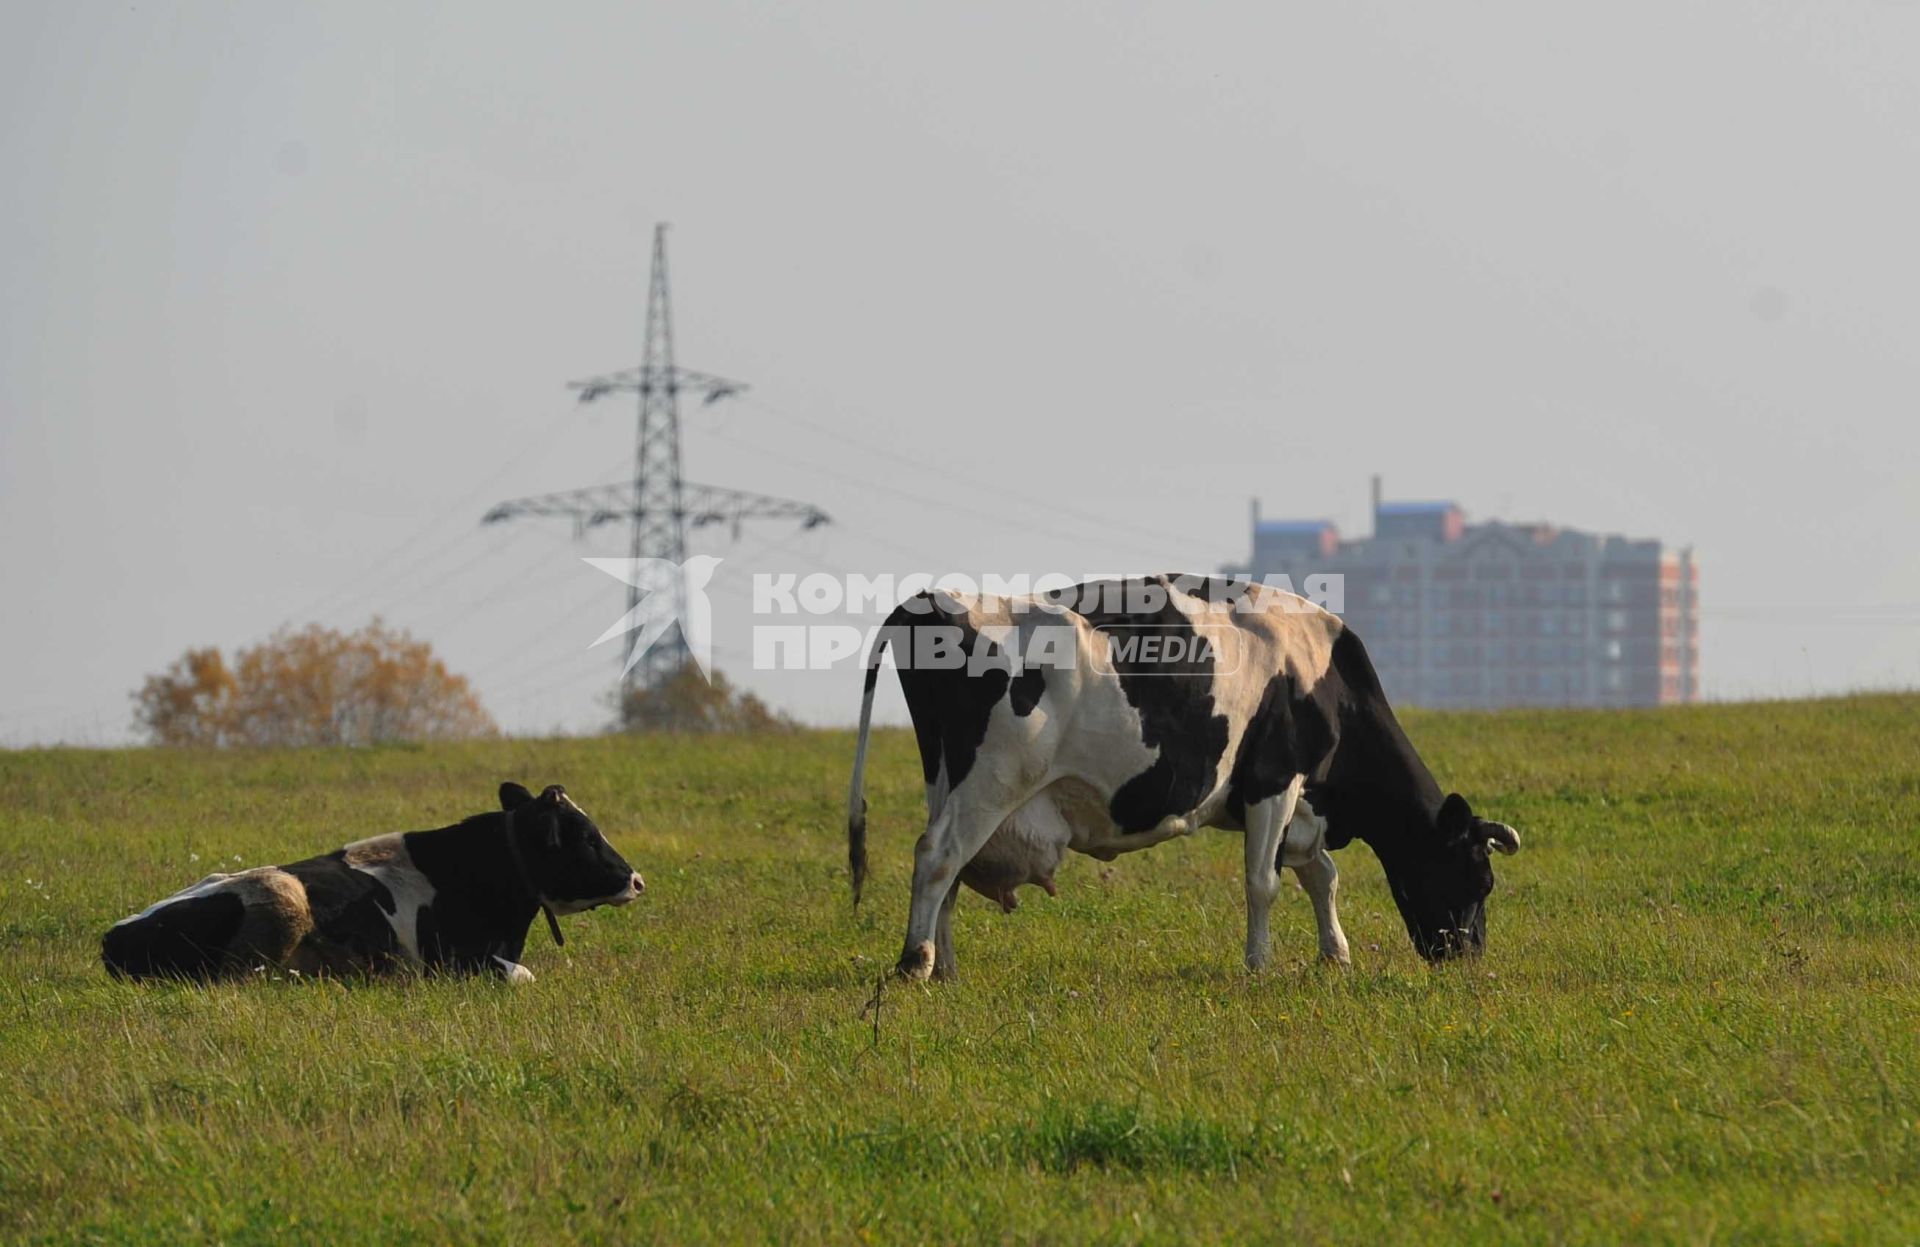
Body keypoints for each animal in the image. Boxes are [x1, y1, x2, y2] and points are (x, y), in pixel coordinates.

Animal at [103, 776, 645, 983]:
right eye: (586, 836)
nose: (637, 880)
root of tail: (113, 936)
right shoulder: (449, 963)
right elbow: (522, 976)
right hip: (280, 894)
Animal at [848, 576, 1520, 983]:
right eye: (1479, 879)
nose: (1470, 957)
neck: (1324, 675)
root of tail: (933, 598)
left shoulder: (1302, 802)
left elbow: (1321, 876)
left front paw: (1335, 954)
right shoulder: (1275, 780)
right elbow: (1263, 883)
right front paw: (1259, 965)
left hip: (946, 779)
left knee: (950, 871)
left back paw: (947, 968)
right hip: (995, 777)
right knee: (936, 856)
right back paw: (915, 964)